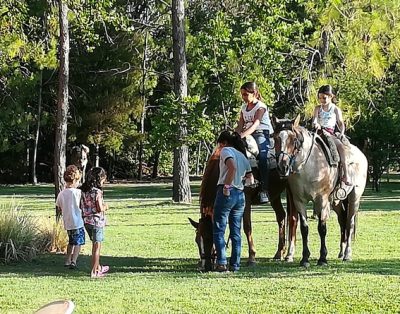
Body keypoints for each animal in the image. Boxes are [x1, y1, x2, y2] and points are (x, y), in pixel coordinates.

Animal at [188, 139, 296, 272]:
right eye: (197, 240)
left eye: (209, 237)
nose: (204, 266)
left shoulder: (246, 201)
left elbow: (247, 227)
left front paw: (252, 257)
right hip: (274, 194)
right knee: (281, 216)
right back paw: (279, 252)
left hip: (292, 191)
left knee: (293, 219)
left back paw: (289, 255)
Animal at [274, 116, 368, 266]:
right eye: (275, 138)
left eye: (293, 139)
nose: (283, 166)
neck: (309, 166)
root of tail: (361, 155)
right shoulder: (299, 201)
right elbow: (304, 228)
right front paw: (305, 258)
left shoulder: (321, 200)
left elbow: (322, 228)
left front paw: (322, 258)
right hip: (336, 202)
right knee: (342, 220)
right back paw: (341, 252)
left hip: (354, 197)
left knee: (350, 222)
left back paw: (347, 254)